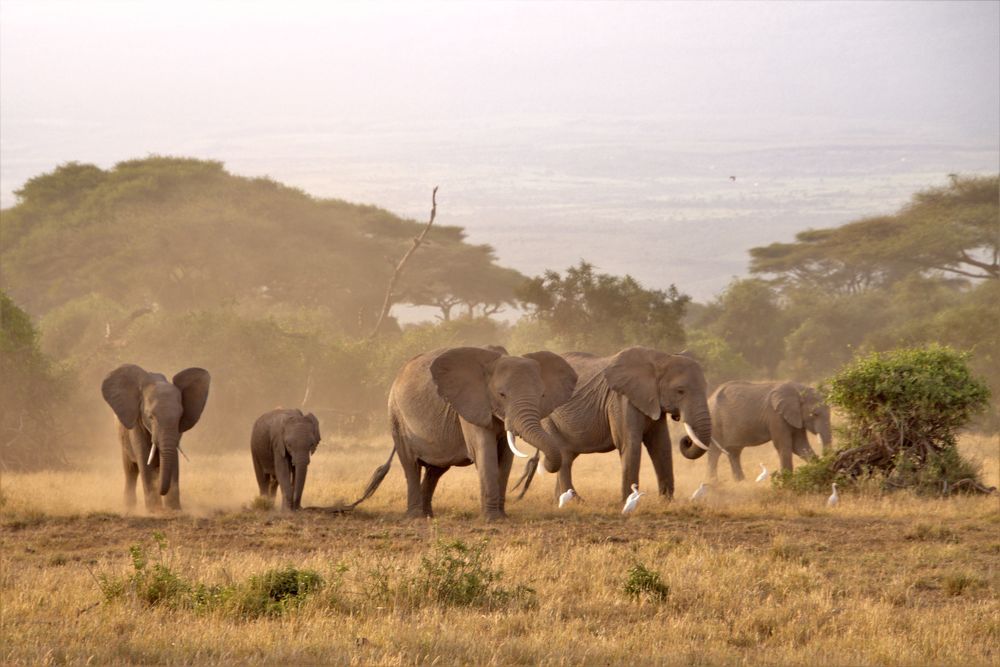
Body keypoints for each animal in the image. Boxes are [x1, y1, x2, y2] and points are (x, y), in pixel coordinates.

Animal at [101, 364, 210, 511]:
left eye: (180, 417)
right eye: (150, 416)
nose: (160, 490)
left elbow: (173, 460)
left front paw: (174, 510)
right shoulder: (136, 423)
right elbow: (145, 460)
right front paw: (154, 511)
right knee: (130, 471)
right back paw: (129, 508)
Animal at [350, 346, 578, 520]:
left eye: (542, 395)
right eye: (501, 394)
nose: (541, 463)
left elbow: (505, 459)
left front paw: (502, 516)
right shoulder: (470, 407)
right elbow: (485, 454)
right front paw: (492, 520)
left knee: (435, 470)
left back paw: (428, 515)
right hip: (397, 416)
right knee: (411, 465)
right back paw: (415, 517)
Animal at [513, 347, 713, 503]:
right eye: (680, 391)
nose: (686, 440)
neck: (661, 357)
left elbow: (661, 445)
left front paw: (666, 502)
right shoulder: (621, 400)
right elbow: (629, 444)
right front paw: (628, 502)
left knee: (567, 455)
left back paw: (561, 500)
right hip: (549, 415)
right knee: (563, 454)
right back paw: (577, 501)